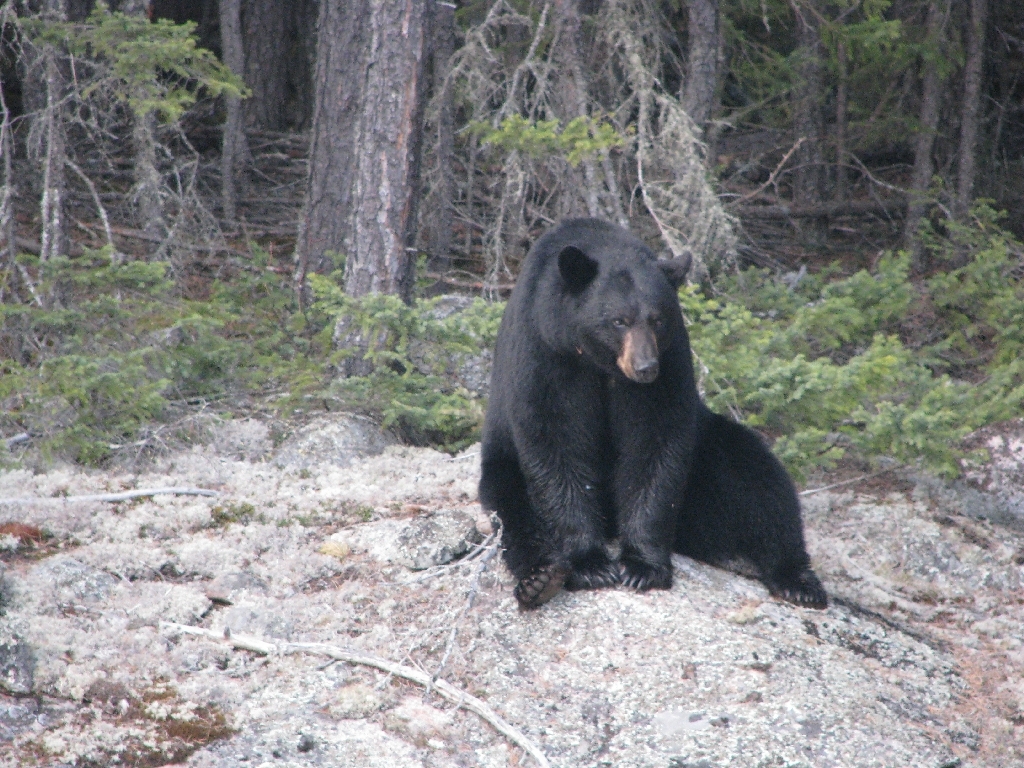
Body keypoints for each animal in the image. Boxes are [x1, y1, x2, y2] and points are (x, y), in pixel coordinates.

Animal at [475, 219, 827, 610]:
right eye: (619, 321)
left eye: (658, 319)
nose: (645, 367)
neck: (601, 364)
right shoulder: (546, 353)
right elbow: (556, 443)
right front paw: (590, 565)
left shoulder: (670, 360)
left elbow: (656, 442)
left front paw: (642, 566)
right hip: (502, 466)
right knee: (515, 514)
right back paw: (541, 579)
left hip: (709, 456)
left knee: (758, 480)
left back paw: (797, 580)